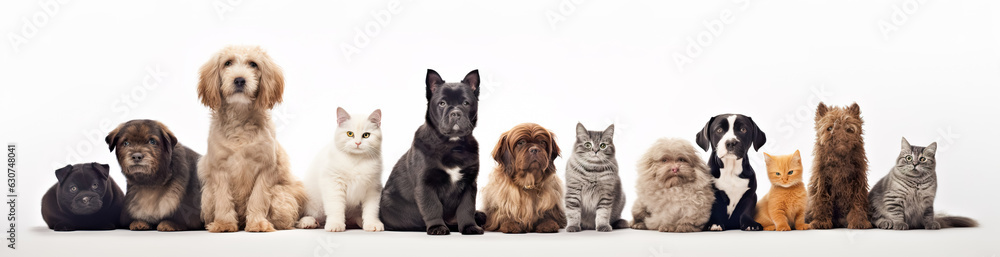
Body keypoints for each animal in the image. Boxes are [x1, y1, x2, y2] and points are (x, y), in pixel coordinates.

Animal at [194, 46, 304, 232]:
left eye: (253, 64)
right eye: (227, 63)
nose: (239, 80)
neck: (240, 119)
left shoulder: (266, 168)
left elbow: (258, 198)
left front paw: (258, 223)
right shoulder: (219, 169)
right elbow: (223, 199)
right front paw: (224, 223)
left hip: (280, 196)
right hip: (207, 197)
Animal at [376, 68, 486, 234]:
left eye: (466, 103)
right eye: (442, 103)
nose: (455, 113)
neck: (452, 145)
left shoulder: (469, 184)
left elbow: (466, 208)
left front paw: (469, 226)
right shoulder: (425, 184)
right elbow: (432, 206)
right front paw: (437, 227)